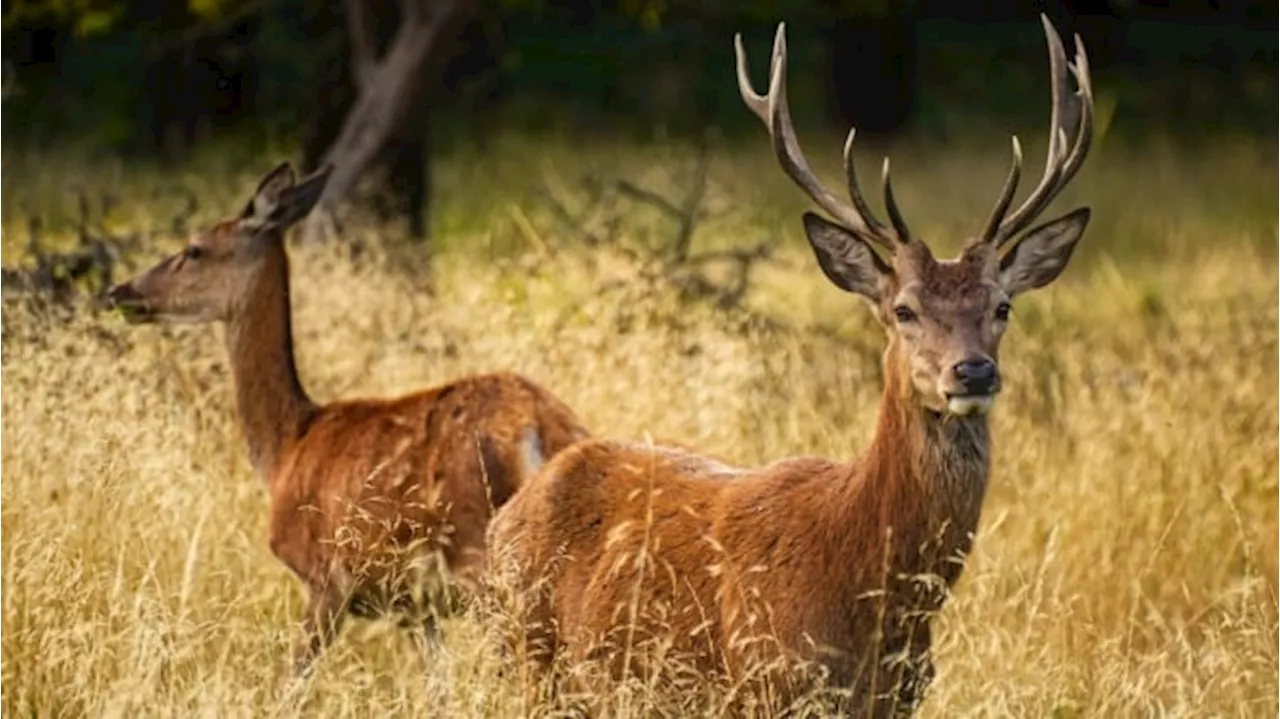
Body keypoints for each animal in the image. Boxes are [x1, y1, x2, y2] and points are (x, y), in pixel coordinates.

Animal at [101, 161, 588, 670]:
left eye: (194, 249)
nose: (119, 291)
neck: (286, 446)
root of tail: (537, 427)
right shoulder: (415, 607)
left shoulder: (324, 577)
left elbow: (293, 676)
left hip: (478, 550)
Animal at [483, 15, 1095, 711]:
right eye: (904, 310)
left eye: (1002, 307)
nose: (972, 372)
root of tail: (506, 516)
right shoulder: (769, 680)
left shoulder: (902, 697)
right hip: (525, 657)